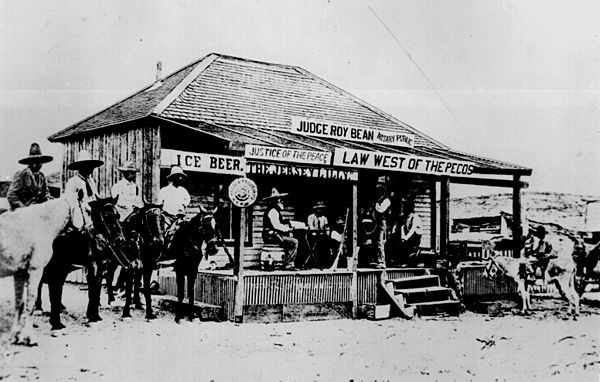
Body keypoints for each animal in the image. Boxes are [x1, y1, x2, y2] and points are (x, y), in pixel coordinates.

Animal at [0, 197, 87, 346]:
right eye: (86, 209)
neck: (41, 224)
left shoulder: (19, 273)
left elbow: (20, 304)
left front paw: (15, 335)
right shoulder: (35, 271)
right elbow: (31, 303)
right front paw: (30, 338)